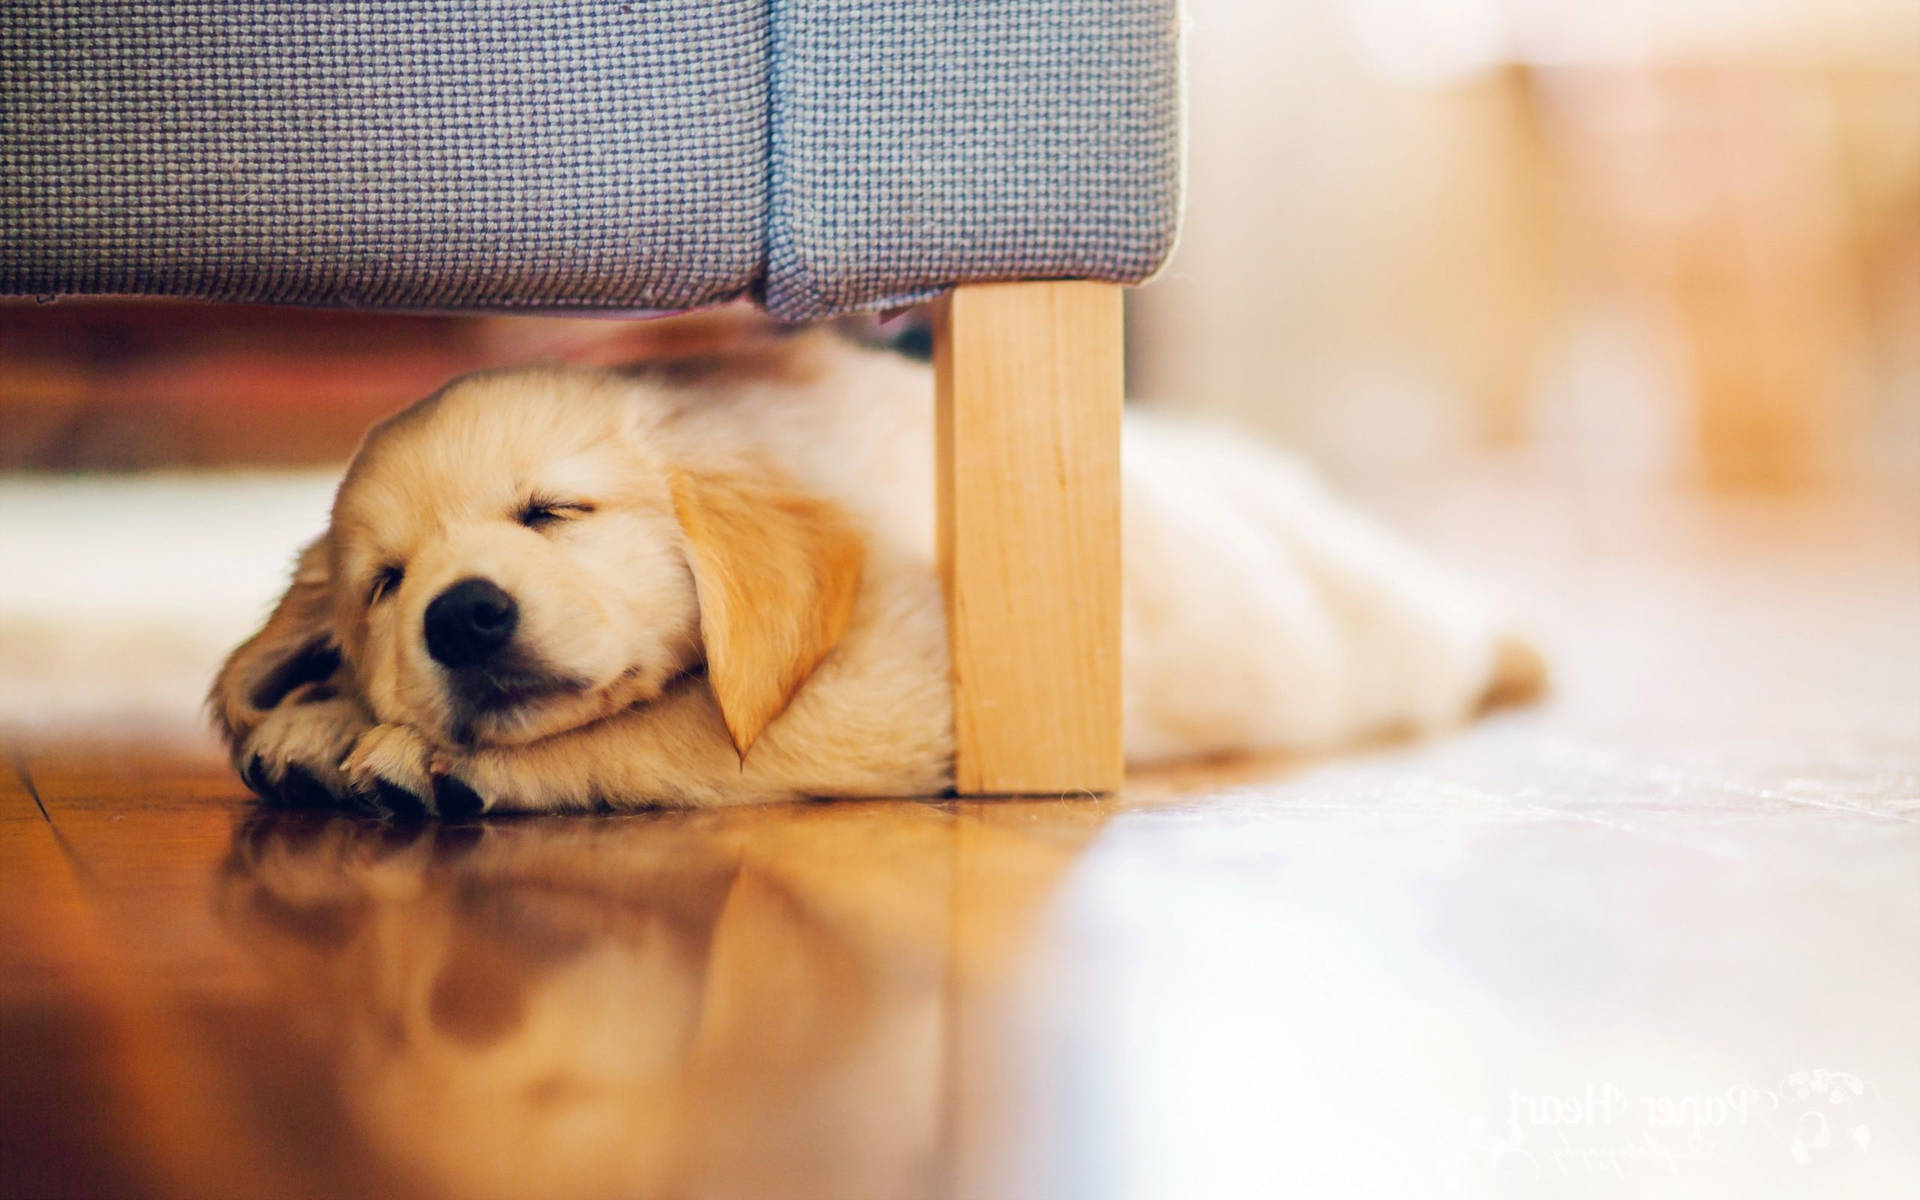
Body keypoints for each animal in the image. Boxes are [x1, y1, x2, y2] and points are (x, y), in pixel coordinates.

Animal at [206, 328, 1543, 814]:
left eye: (553, 511)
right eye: (385, 584)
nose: (464, 617)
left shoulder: (905, 679)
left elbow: (672, 725)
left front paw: (401, 748)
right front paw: (318, 714)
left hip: (1385, 626)